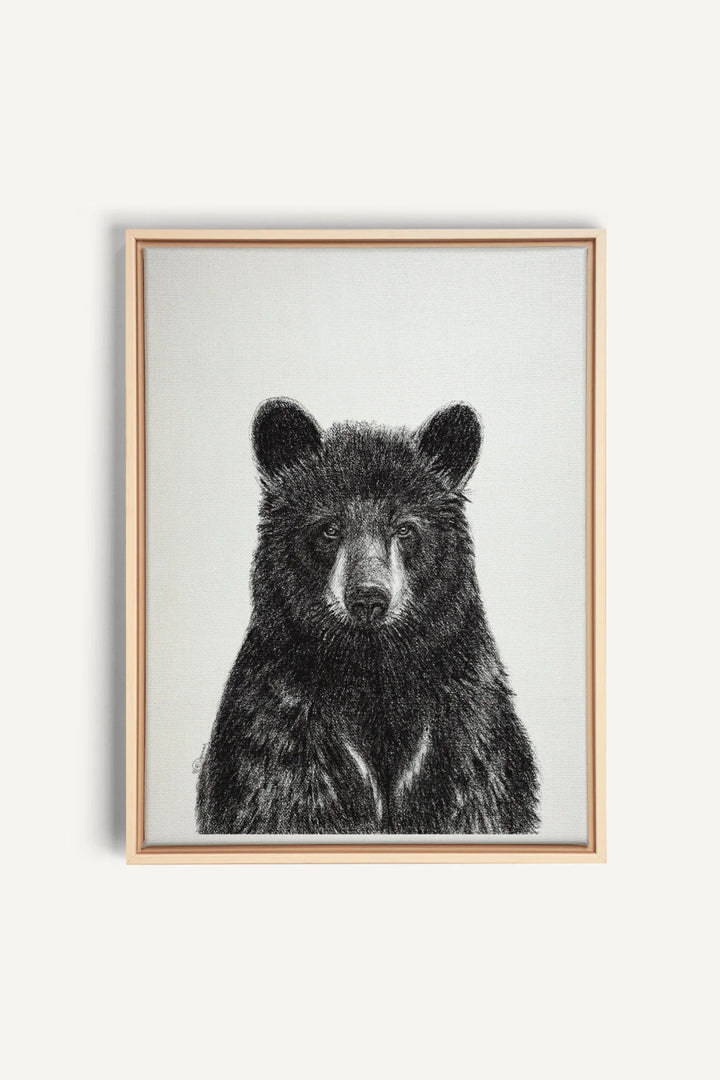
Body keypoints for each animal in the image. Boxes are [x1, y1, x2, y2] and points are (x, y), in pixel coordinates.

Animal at [196, 398, 539, 834]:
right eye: (329, 528)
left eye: (405, 529)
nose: (368, 598)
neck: (372, 670)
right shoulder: (281, 730)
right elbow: (280, 798)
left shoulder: (467, 729)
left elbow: (479, 796)